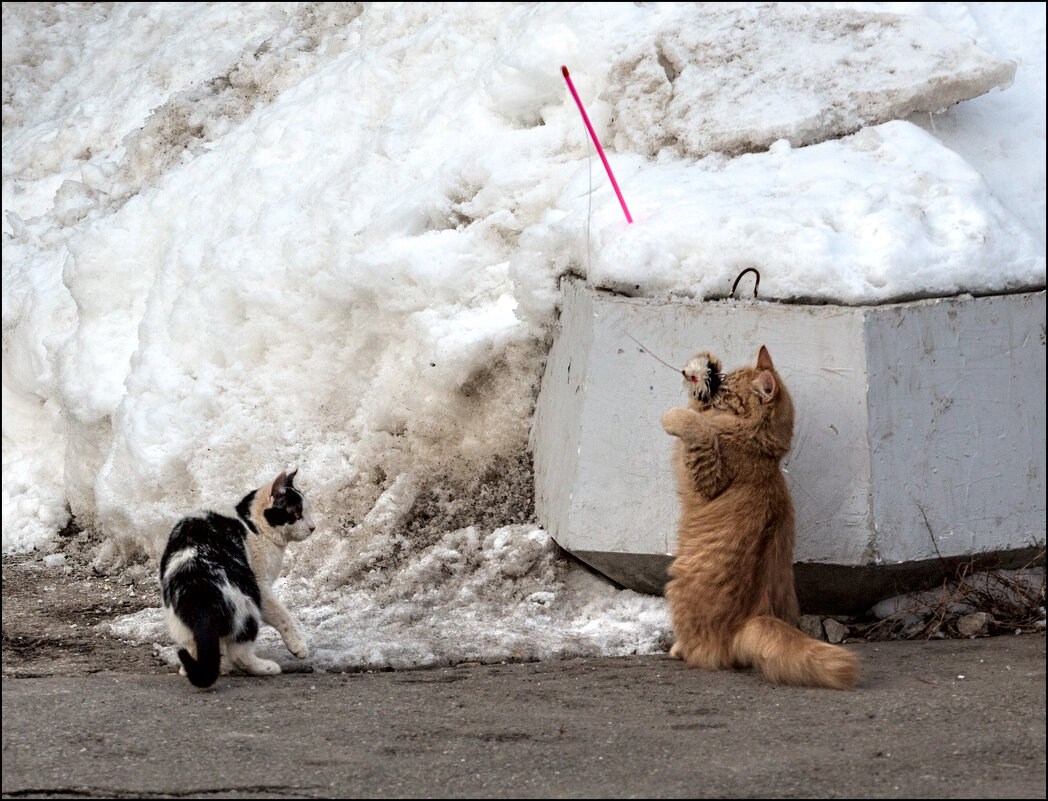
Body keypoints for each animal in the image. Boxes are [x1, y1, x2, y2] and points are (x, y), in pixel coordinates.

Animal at [159, 469, 314, 687]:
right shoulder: (263, 586)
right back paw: (266, 667)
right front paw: (298, 646)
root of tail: (197, 586)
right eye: (297, 514)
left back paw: (205, 667)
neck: (253, 525)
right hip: (249, 603)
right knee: (240, 654)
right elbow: (283, 616)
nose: (312, 527)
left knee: (197, 648)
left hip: (180, 623)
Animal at [662, 343, 859, 687]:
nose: (717, 388)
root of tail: (752, 617)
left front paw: (677, 413)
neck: (761, 447)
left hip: (677, 589)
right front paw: (705, 367)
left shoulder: (706, 476)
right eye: (724, 382)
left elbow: (696, 427)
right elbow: (699, 413)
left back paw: (677, 649)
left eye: (728, 391)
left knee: (696, 649)